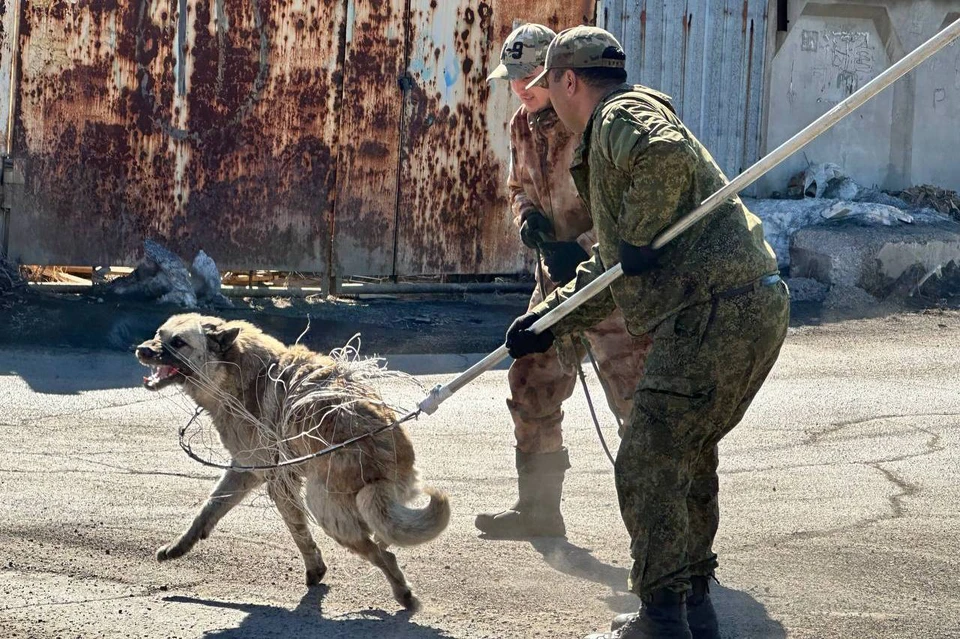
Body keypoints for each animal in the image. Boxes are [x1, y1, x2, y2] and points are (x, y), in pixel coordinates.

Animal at [135, 316, 450, 608]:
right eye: (158, 334)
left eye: (178, 342)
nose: (141, 350)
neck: (234, 368)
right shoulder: (244, 470)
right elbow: (209, 508)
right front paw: (179, 545)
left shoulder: (277, 482)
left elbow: (298, 531)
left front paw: (314, 568)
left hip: (325, 508)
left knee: (383, 553)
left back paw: (403, 593)